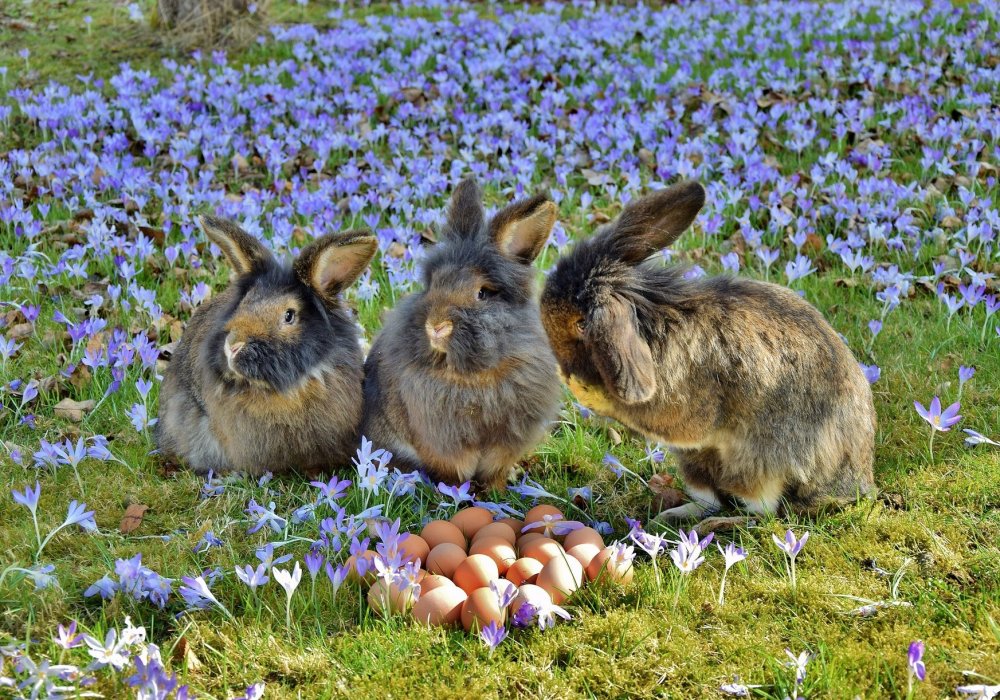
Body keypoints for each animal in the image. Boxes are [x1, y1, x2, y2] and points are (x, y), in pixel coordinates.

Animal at [360, 178, 564, 490]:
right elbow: (455, 470)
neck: (475, 374)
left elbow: (495, 470)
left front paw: (496, 490)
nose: (436, 325)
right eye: (433, 283)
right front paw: (457, 492)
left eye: (482, 293)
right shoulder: (442, 442)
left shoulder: (506, 442)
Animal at [540, 180, 876, 520]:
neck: (651, 324)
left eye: (581, 324)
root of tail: (854, 484)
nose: (563, 368)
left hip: (756, 463)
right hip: (695, 462)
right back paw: (673, 515)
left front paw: (586, 392)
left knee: (758, 510)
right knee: (709, 497)